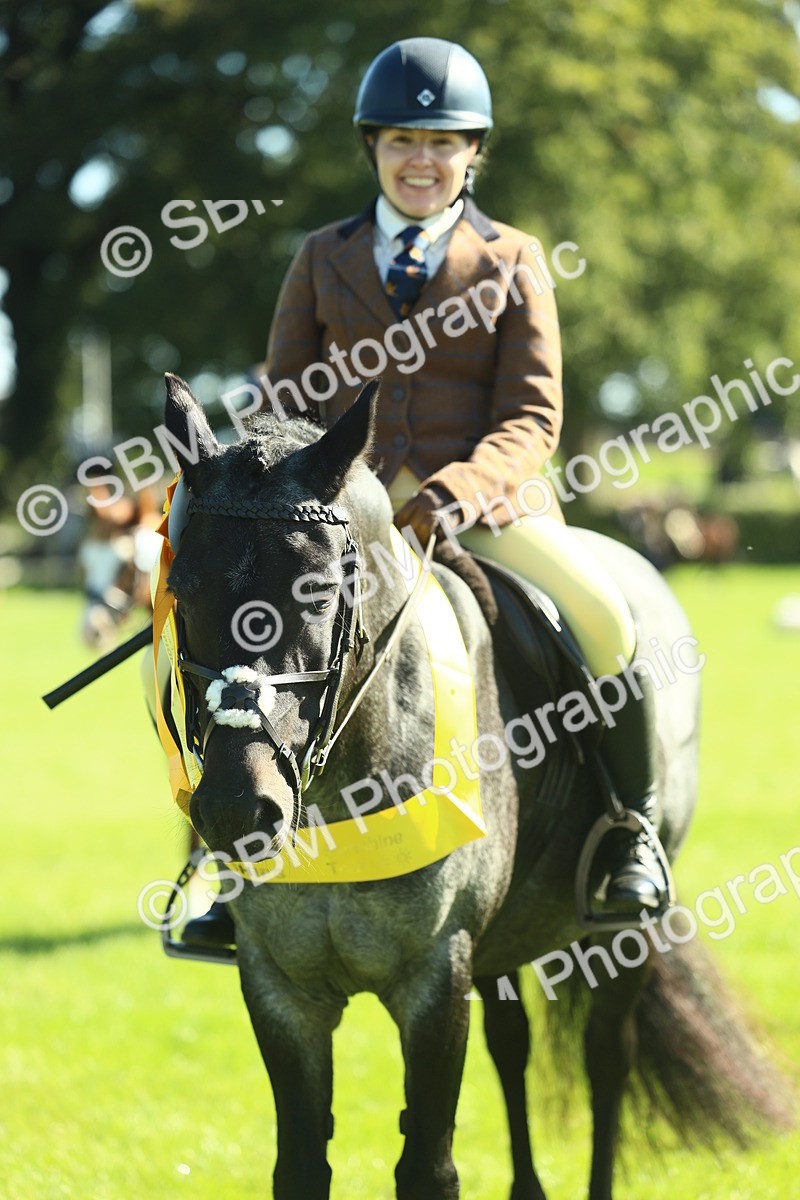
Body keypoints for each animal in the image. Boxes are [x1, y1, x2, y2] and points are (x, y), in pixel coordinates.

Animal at [160, 372, 791, 1200]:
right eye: (180, 587)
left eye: (319, 591)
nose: (239, 808)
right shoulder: (281, 988)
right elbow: (300, 1162)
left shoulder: (435, 977)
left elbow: (429, 1164)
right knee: (511, 1043)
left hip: (620, 930)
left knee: (606, 1059)